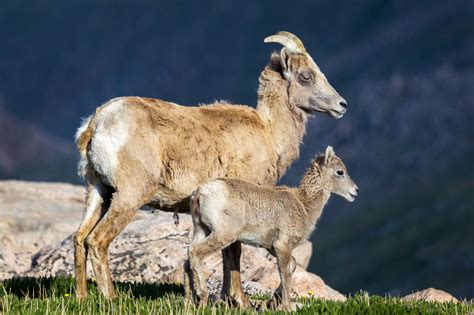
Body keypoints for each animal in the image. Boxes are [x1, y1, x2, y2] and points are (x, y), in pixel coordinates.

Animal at [187, 147, 358, 310]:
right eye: (340, 171)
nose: (355, 191)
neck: (304, 206)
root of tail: (201, 192)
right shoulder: (282, 245)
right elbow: (284, 272)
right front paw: (286, 307)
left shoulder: (271, 246)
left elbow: (292, 265)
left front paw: (273, 301)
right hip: (223, 235)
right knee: (195, 253)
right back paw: (202, 297)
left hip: (201, 229)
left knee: (189, 256)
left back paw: (190, 301)